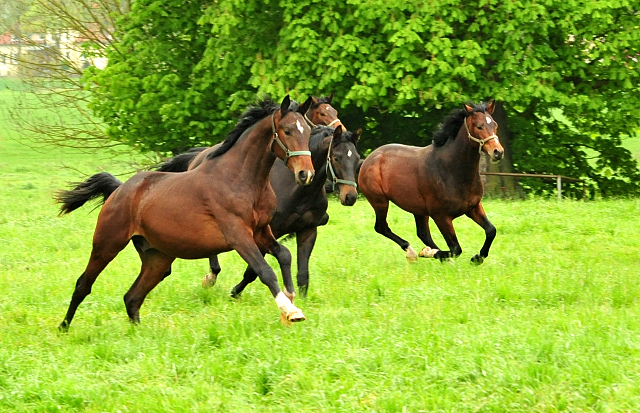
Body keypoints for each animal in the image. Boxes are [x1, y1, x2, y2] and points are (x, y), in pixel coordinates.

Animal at [55, 95, 316, 330]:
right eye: (287, 131)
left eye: (307, 132)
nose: (306, 174)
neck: (240, 179)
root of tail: (120, 189)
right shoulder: (238, 235)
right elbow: (265, 271)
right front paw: (291, 311)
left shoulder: (261, 230)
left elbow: (284, 255)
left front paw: (291, 300)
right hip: (107, 244)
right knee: (84, 284)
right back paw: (63, 327)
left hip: (157, 258)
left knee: (132, 297)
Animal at [358, 99, 502, 264]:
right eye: (479, 126)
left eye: (495, 125)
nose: (498, 152)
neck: (452, 170)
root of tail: (367, 160)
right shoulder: (441, 216)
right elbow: (455, 248)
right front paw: (429, 253)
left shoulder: (473, 207)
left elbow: (491, 230)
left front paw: (477, 258)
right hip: (380, 201)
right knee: (382, 227)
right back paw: (414, 252)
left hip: (417, 209)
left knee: (422, 233)